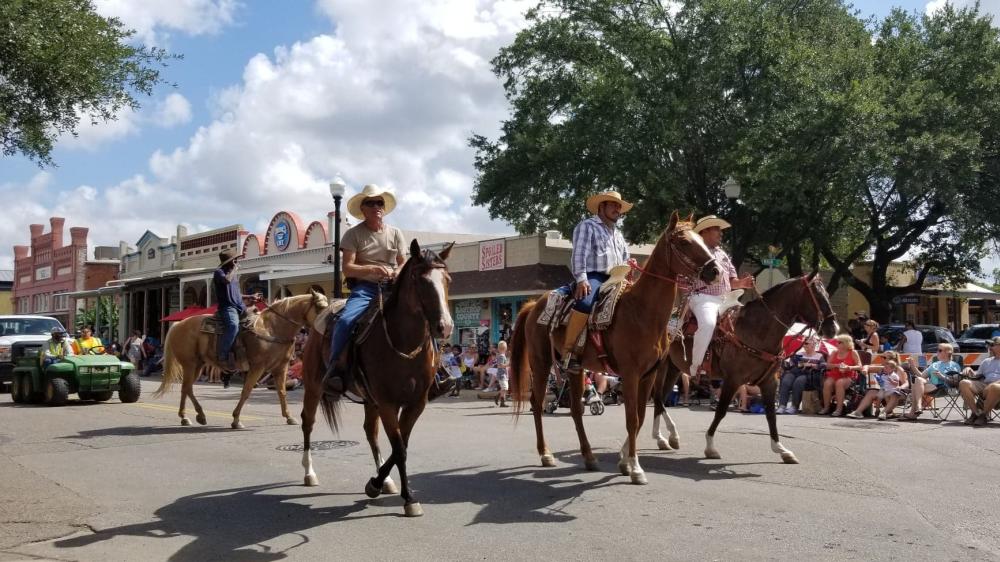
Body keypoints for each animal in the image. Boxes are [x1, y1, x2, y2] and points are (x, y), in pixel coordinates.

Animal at [153, 290, 328, 426]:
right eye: (320, 307)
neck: (273, 329)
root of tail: (177, 325)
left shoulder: (280, 368)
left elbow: (282, 392)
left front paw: (289, 417)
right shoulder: (257, 367)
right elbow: (246, 391)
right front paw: (236, 419)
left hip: (198, 365)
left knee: (186, 388)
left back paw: (189, 417)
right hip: (190, 364)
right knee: (187, 388)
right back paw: (194, 416)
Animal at [296, 238, 454, 516]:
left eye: (447, 279)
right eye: (420, 279)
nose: (444, 327)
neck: (403, 345)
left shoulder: (416, 403)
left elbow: (401, 444)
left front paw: (377, 483)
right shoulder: (388, 403)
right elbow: (399, 449)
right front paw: (409, 499)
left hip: (369, 400)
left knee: (370, 432)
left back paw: (385, 480)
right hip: (314, 387)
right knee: (308, 422)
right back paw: (309, 472)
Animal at [508, 212, 720, 484]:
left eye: (701, 240)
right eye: (684, 242)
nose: (715, 270)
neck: (641, 312)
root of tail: (534, 304)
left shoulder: (649, 375)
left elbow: (640, 416)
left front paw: (625, 462)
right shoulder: (630, 374)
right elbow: (632, 419)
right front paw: (636, 469)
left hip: (575, 368)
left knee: (576, 409)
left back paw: (589, 457)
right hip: (541, 362)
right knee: (537, 403)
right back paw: (545, 454)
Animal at [648, 272, 836, 460]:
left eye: (827, 294)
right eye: (817, 296)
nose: (833, 329)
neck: (756, 331)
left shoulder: (769, 381)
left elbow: (771, 414)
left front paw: (781, 449)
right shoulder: (733, 380)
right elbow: (721, 410)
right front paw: (710, 446)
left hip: (674, 369)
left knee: (661, 399)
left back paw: (665, 438)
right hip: (661, 368)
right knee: (657, 398)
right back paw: (664, 437)